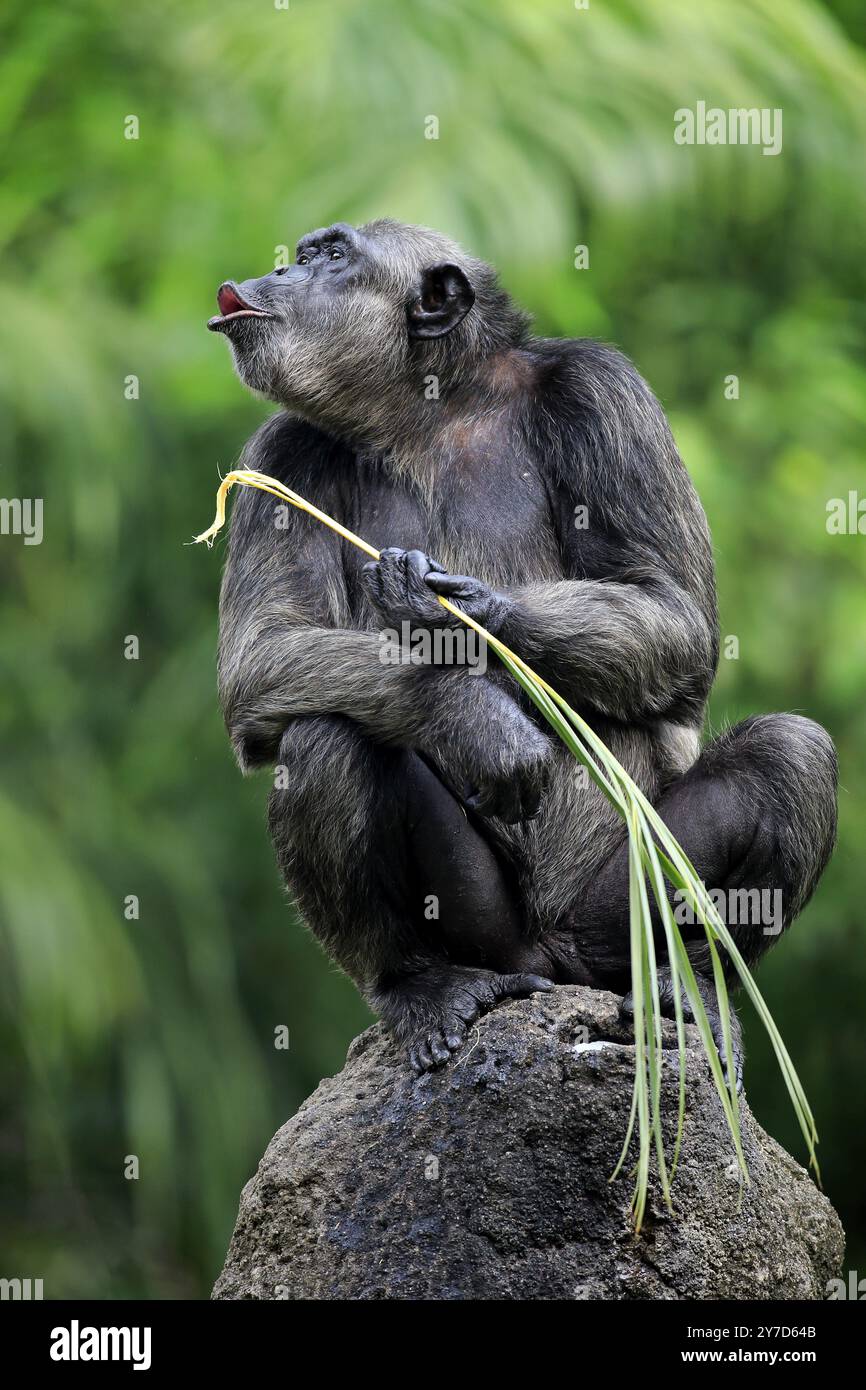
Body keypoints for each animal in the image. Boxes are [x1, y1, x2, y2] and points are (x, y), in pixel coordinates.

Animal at [207, 219, 839, 1084]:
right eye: (305, 255)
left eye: (330, 256)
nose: (276, 274)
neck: (428, 411)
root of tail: (557, 966)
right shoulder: (276, 458)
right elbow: (267, 649)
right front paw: (471, 716)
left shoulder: (604, 391)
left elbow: (673, 608)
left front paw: (458, 611)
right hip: (490, 935)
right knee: (326, 739)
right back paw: (422, 988)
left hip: (618, 923)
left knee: (789, 753)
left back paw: (695, 990)